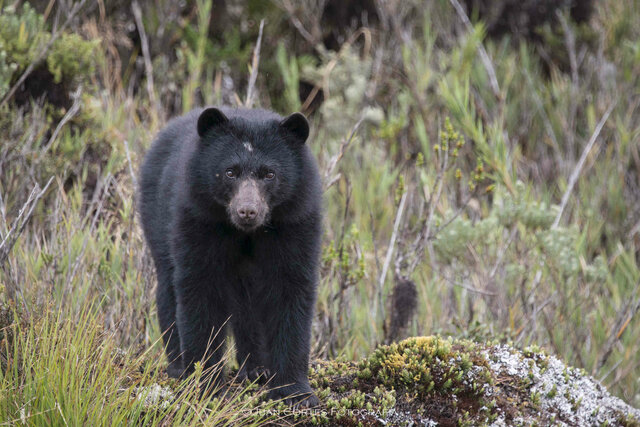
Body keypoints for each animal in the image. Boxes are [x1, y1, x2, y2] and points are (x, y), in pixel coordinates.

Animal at [138, 107, 322, 407]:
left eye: (269, 174)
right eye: (230, 172)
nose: (247, 211)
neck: (248, 233)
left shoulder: (295, 221)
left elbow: (290, 291)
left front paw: (295, 392)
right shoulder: (198, 217)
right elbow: (200, 291)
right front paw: (207, 384)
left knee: (248, 306)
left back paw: (257, 368)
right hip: (156, 218)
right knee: (168, 287)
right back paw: (178, 365)